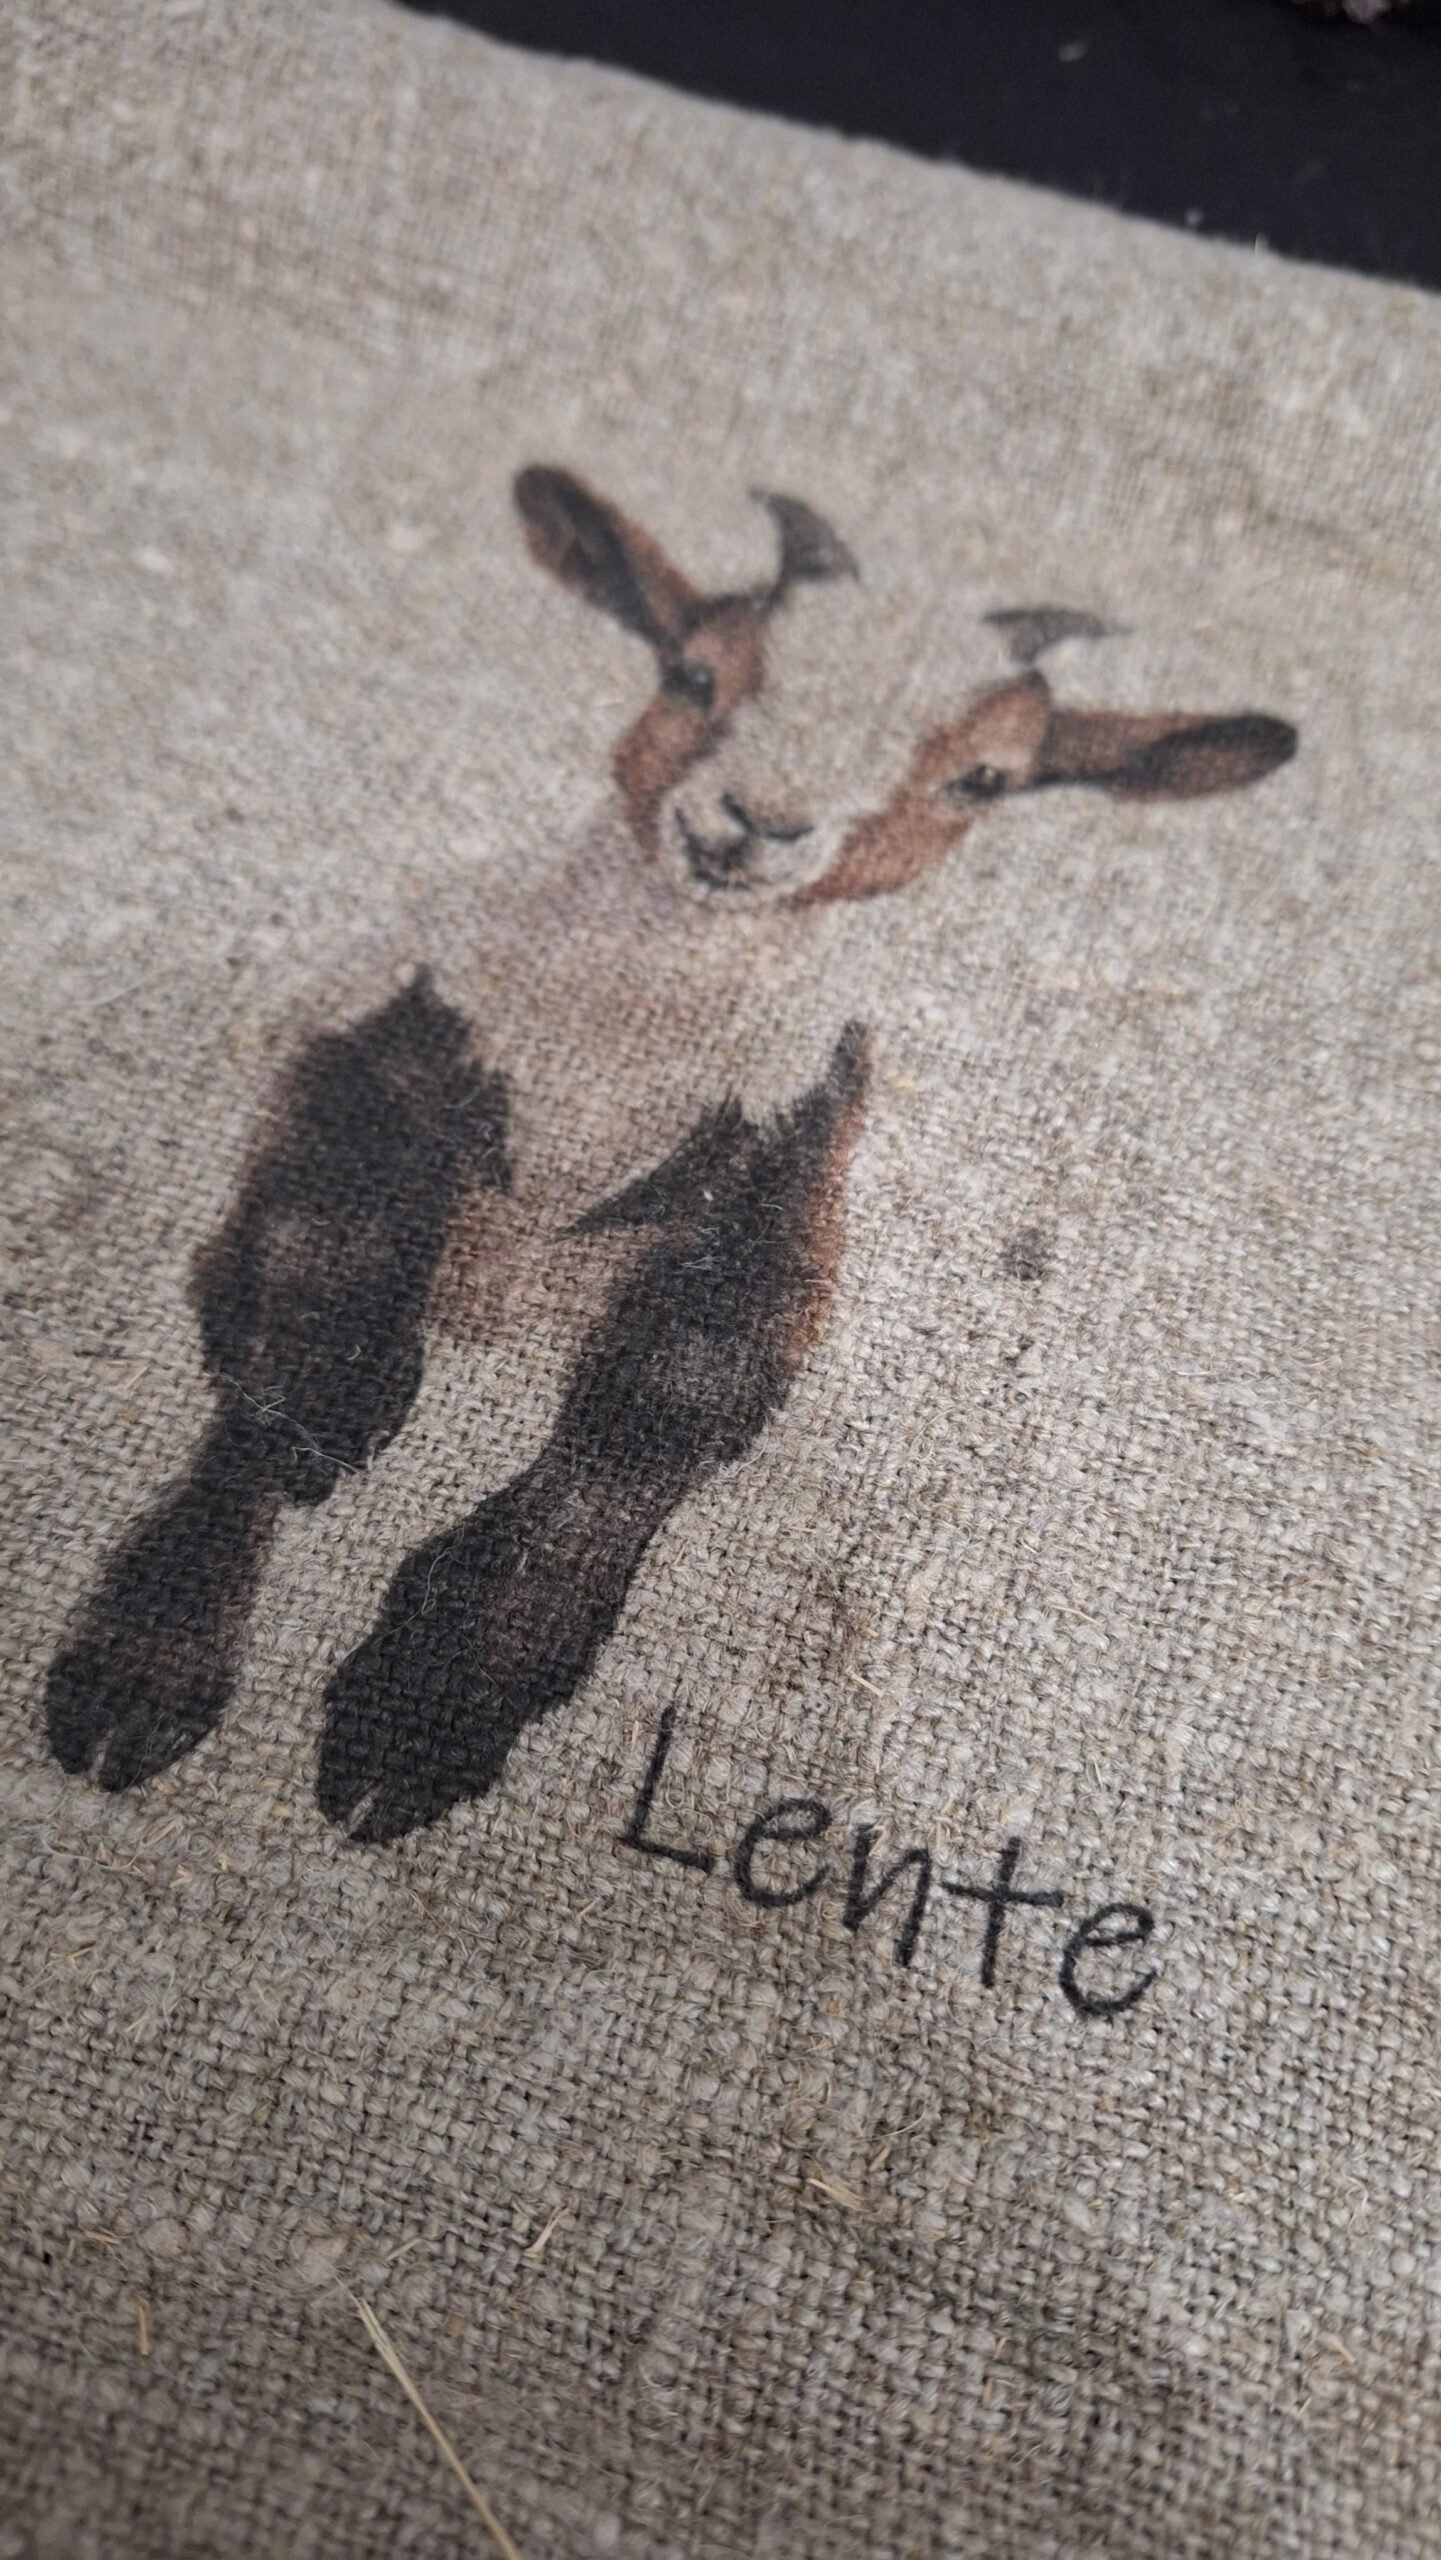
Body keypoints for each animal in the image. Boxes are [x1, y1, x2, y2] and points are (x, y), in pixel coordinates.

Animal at [45, 468, 1297, 1843]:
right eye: (696, 671)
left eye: (983, 776)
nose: (757, 823)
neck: (605, 1071)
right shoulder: (373, 1083)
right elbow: (304, 1329)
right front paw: (134, 1678)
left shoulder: (781, 1205)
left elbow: (654, 1421)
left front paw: (425, 1713)